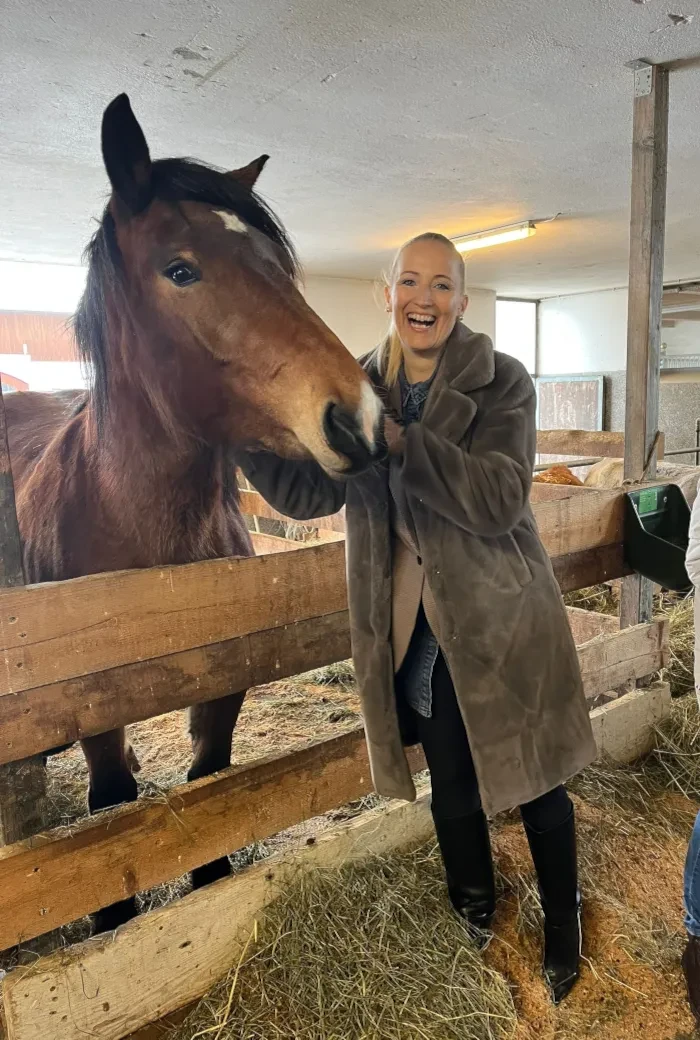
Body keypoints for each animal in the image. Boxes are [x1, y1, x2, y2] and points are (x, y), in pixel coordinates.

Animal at [5, 93, 384, 935]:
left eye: (280, 265)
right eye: (180, 269)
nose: (359, 419)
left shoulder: (224, 683)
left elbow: (212, 785)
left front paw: (209, 881)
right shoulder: (94, 707)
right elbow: (109, 807)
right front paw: (113, 919)